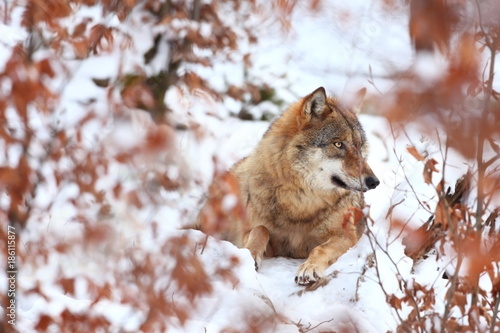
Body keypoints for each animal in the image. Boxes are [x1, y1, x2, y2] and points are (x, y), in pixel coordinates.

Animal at [199, 87, 378, 284]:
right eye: (338, 144)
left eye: (359, 146)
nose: (374, 181)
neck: (300, 201)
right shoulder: (248, 234)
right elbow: (260, 230)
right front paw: (251, 255)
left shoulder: (346, 236)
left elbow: (320, 249)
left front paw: (309, 267)